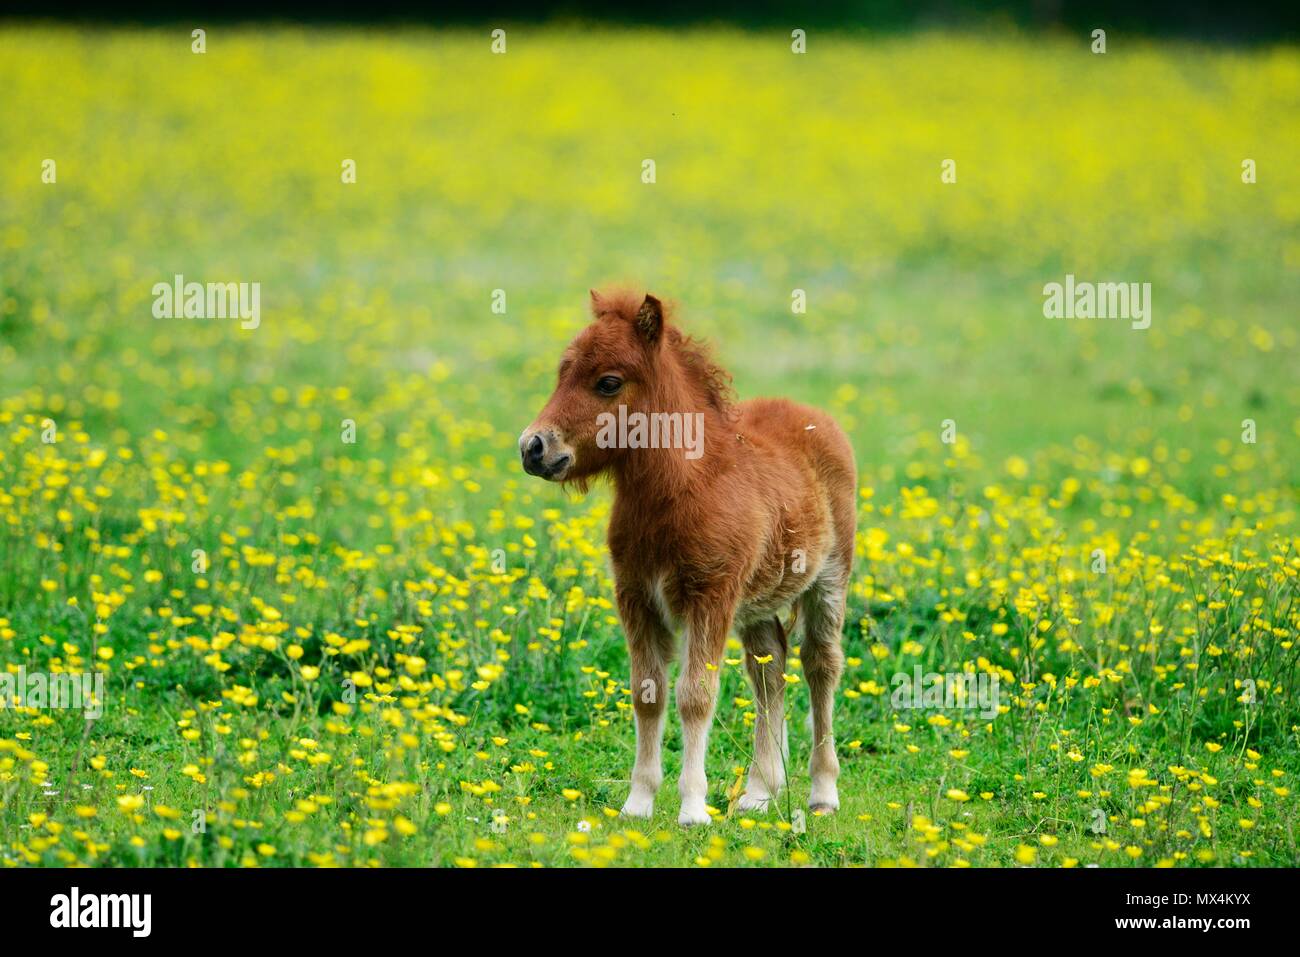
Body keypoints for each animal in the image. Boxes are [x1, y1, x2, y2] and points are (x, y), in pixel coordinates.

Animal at [522, 287, 857, 826]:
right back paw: (759, 792)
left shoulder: (710, 595)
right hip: (756, 603)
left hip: (829, 577)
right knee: (769, 668)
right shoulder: (635, 595)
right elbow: (648, 692)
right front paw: (637, 803)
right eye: (562, 371)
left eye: (608, 382)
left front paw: (693, 808)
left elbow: (695, 696)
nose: (533, 448)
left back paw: (822, 792)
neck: (681, 490)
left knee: (820, 664)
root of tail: (814, 416)